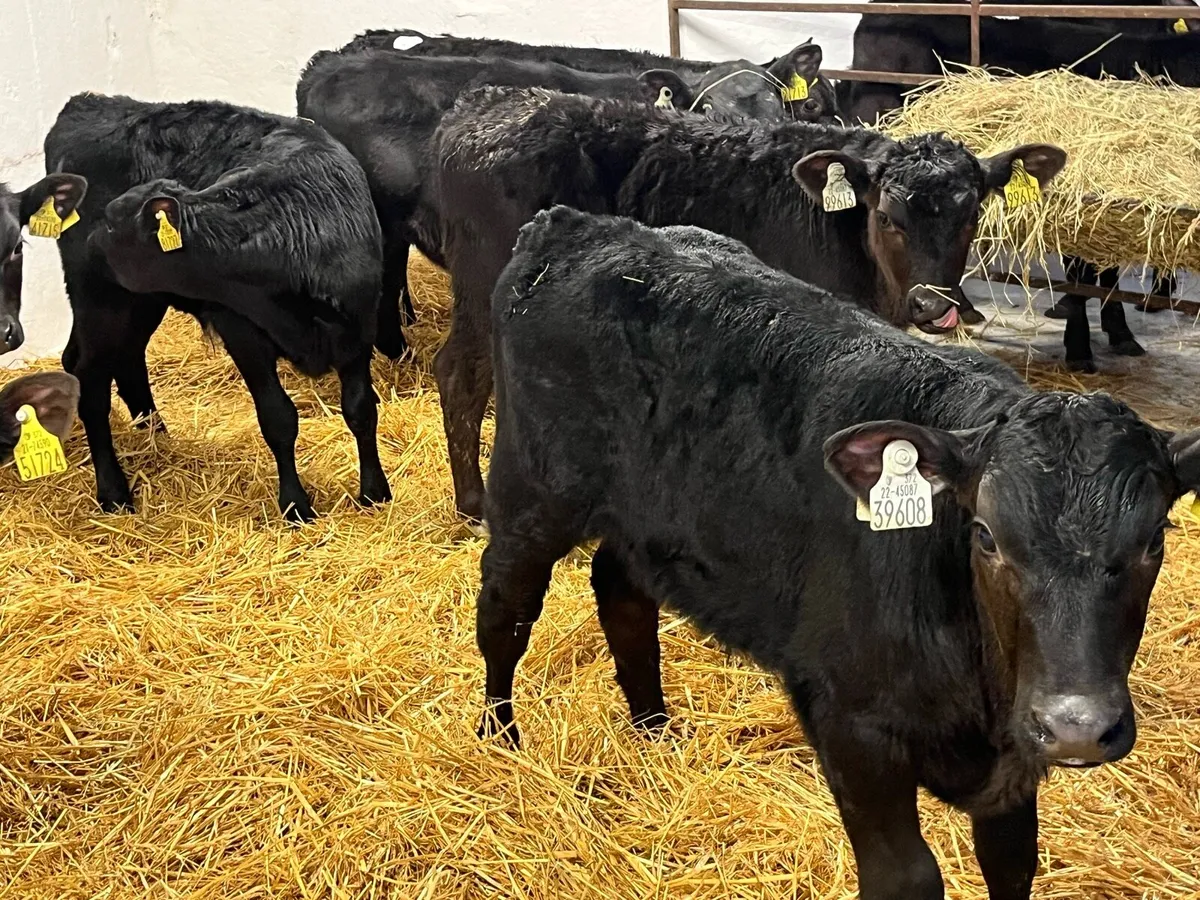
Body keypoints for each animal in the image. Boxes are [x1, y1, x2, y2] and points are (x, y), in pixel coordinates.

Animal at [45, 93, 391, 523]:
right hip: (102, 301)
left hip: (141, 301)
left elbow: (361, 409)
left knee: (123, 361)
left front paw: (375, 492)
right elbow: (278, 418)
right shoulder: (241, 332)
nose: (92, 242)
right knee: (89, 378)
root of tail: (88, 102)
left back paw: (158, 438)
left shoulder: (358, 328)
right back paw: (113, 492)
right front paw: (295, 504)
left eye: (111, 223)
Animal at [430, 86, 1066, 522]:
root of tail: (483, 103)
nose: (936, 308)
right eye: (888, 216)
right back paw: (473, 504)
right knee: (458, 372)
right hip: (480, 291)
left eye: (973, 213)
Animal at [475, 204, 1200, 900]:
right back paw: (499, 740)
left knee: (620, 592)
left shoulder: (1013, 766)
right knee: (505, 611)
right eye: (986, 535)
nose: (1077, 726)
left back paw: (654, 729)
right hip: (531, 493)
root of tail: (576, 223)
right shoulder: (850, 720)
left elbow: (1013, 865)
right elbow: (906, 876)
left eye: (1154, 539)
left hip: (647, 516)